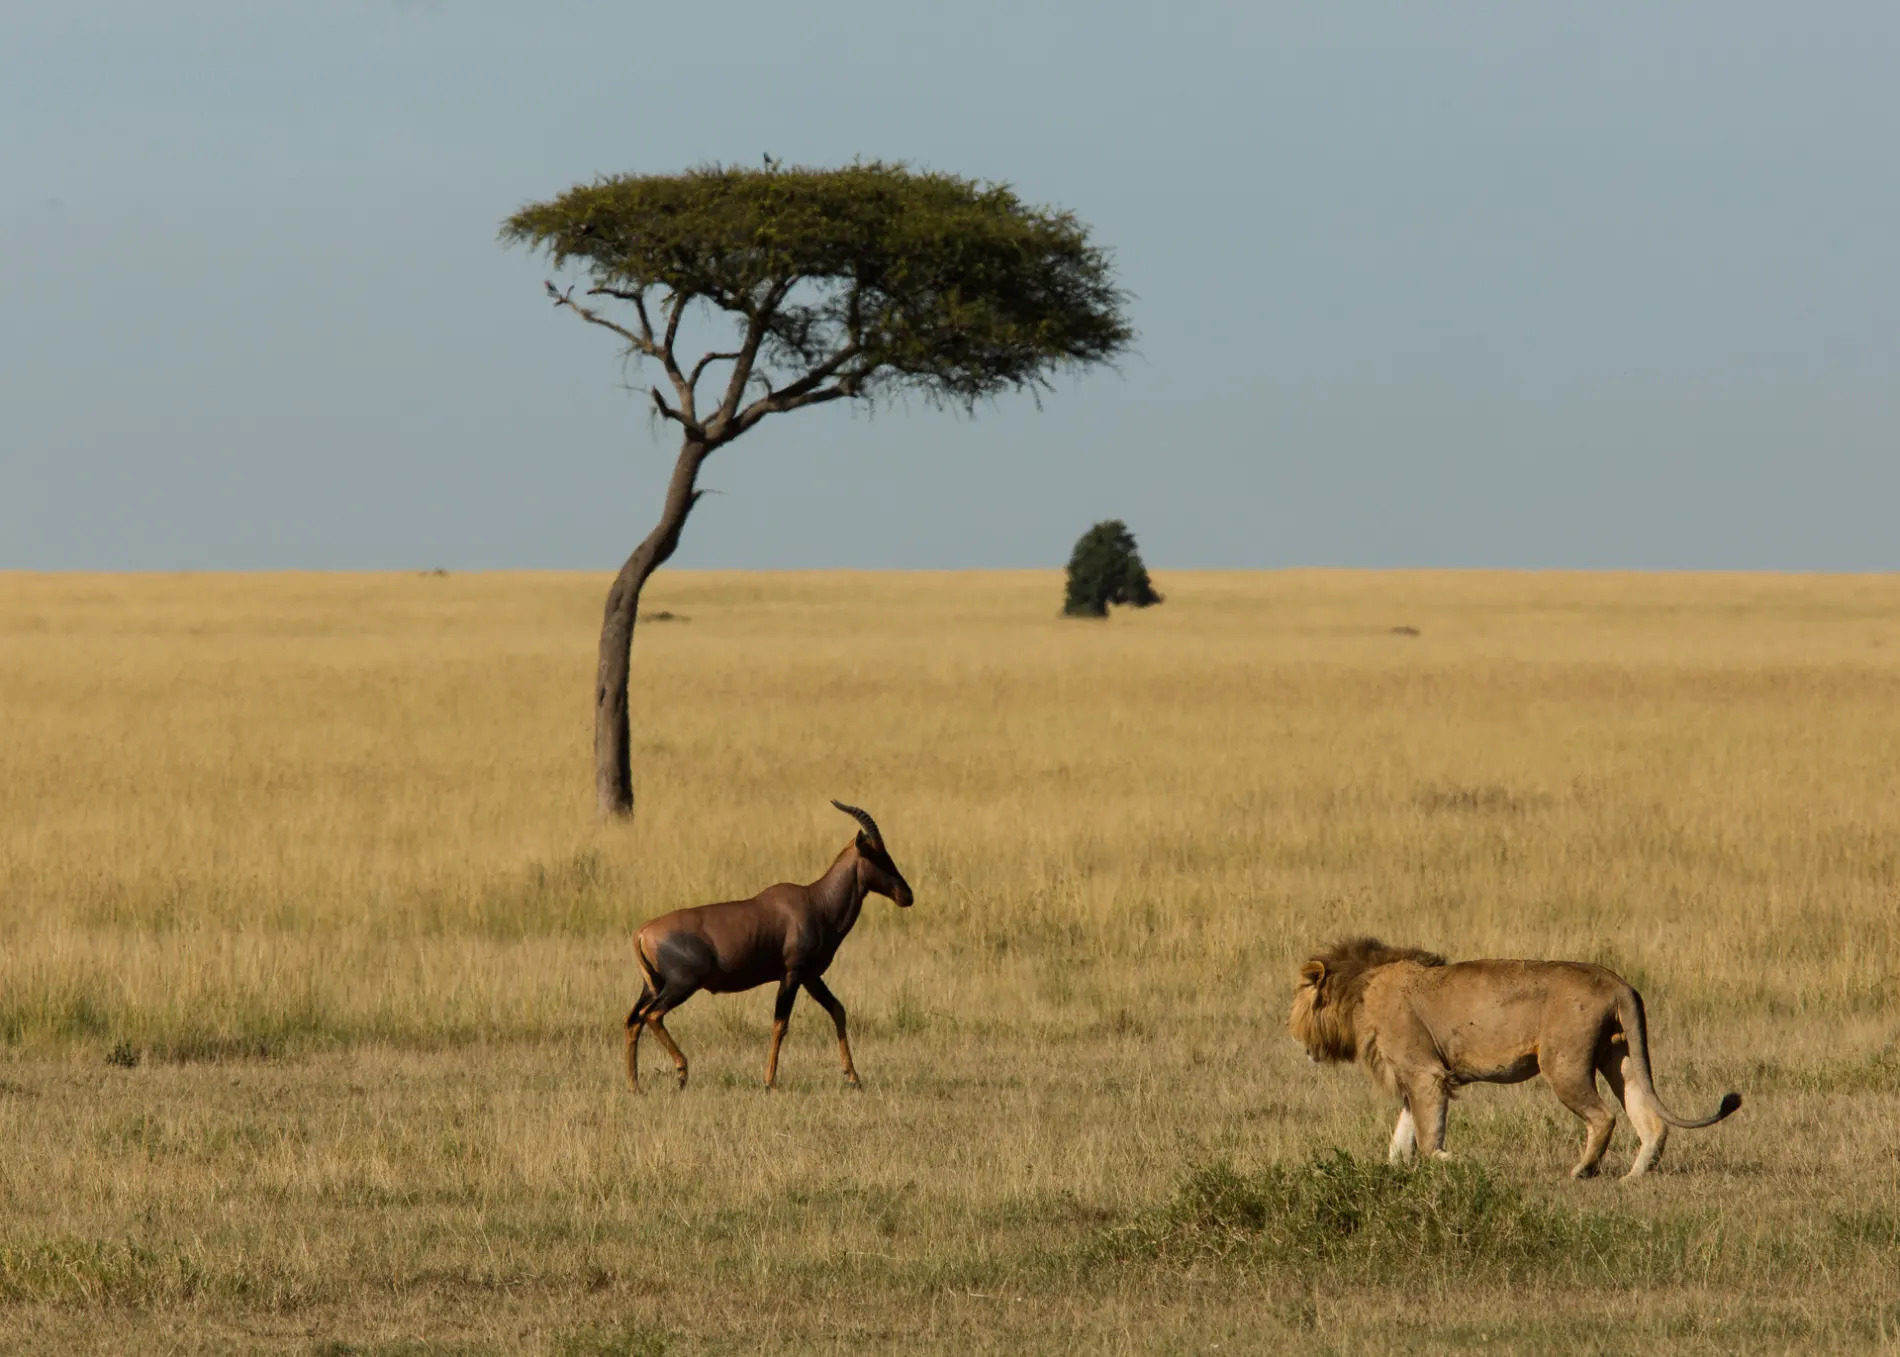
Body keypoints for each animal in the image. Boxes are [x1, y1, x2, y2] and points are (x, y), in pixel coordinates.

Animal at [623, 798, 912, 1094]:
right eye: (878, 856)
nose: (907, 896)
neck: (816, 902)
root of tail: (643, 933)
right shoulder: (792, 974)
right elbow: (780, 1024)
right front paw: (769, 1081)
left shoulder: (811, 976)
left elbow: (837, 1010)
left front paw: (853, 1077)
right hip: (681, 984)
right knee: (652, 1015)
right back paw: (681, 1071)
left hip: (653, 986)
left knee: (633, 1020)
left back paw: (635, 1085)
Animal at [1284, 931, 1740, 1170]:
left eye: (1298, 995)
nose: (1289, 1031)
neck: (1359, 991)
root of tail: (1617, 982)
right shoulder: (1416, 1077)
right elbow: (1402, 1137)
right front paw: (1395, 1171)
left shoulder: (1425, 1072)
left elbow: (1429, 1136)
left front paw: (1452, 1161)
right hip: (1619, 1057)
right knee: (1651, 1119)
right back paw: (1634, 1177)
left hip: (1564, 1063)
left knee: (1604, 1117)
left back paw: (1582, 1172)